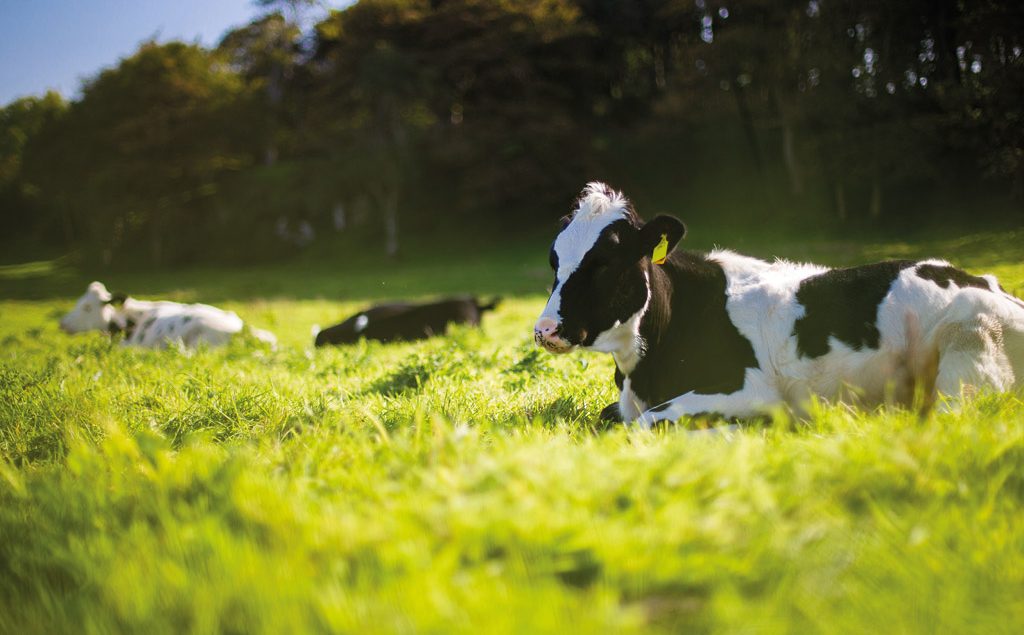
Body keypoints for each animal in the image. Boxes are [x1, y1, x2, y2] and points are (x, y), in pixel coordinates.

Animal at [532, 181, 1024, 424]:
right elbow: (612, 417)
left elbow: (647, 422)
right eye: (554, 258)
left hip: (969, 351)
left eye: (605, 261)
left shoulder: (750, 389)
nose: (545, 329)